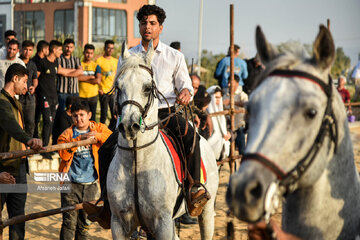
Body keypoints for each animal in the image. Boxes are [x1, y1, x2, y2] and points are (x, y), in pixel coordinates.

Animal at [106, 42, 219, 239]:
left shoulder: (163, 223)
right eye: (118, 87)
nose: (129, 126)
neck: (136, 162)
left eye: (147, 88)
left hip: (206, 211)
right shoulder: (118, 223)